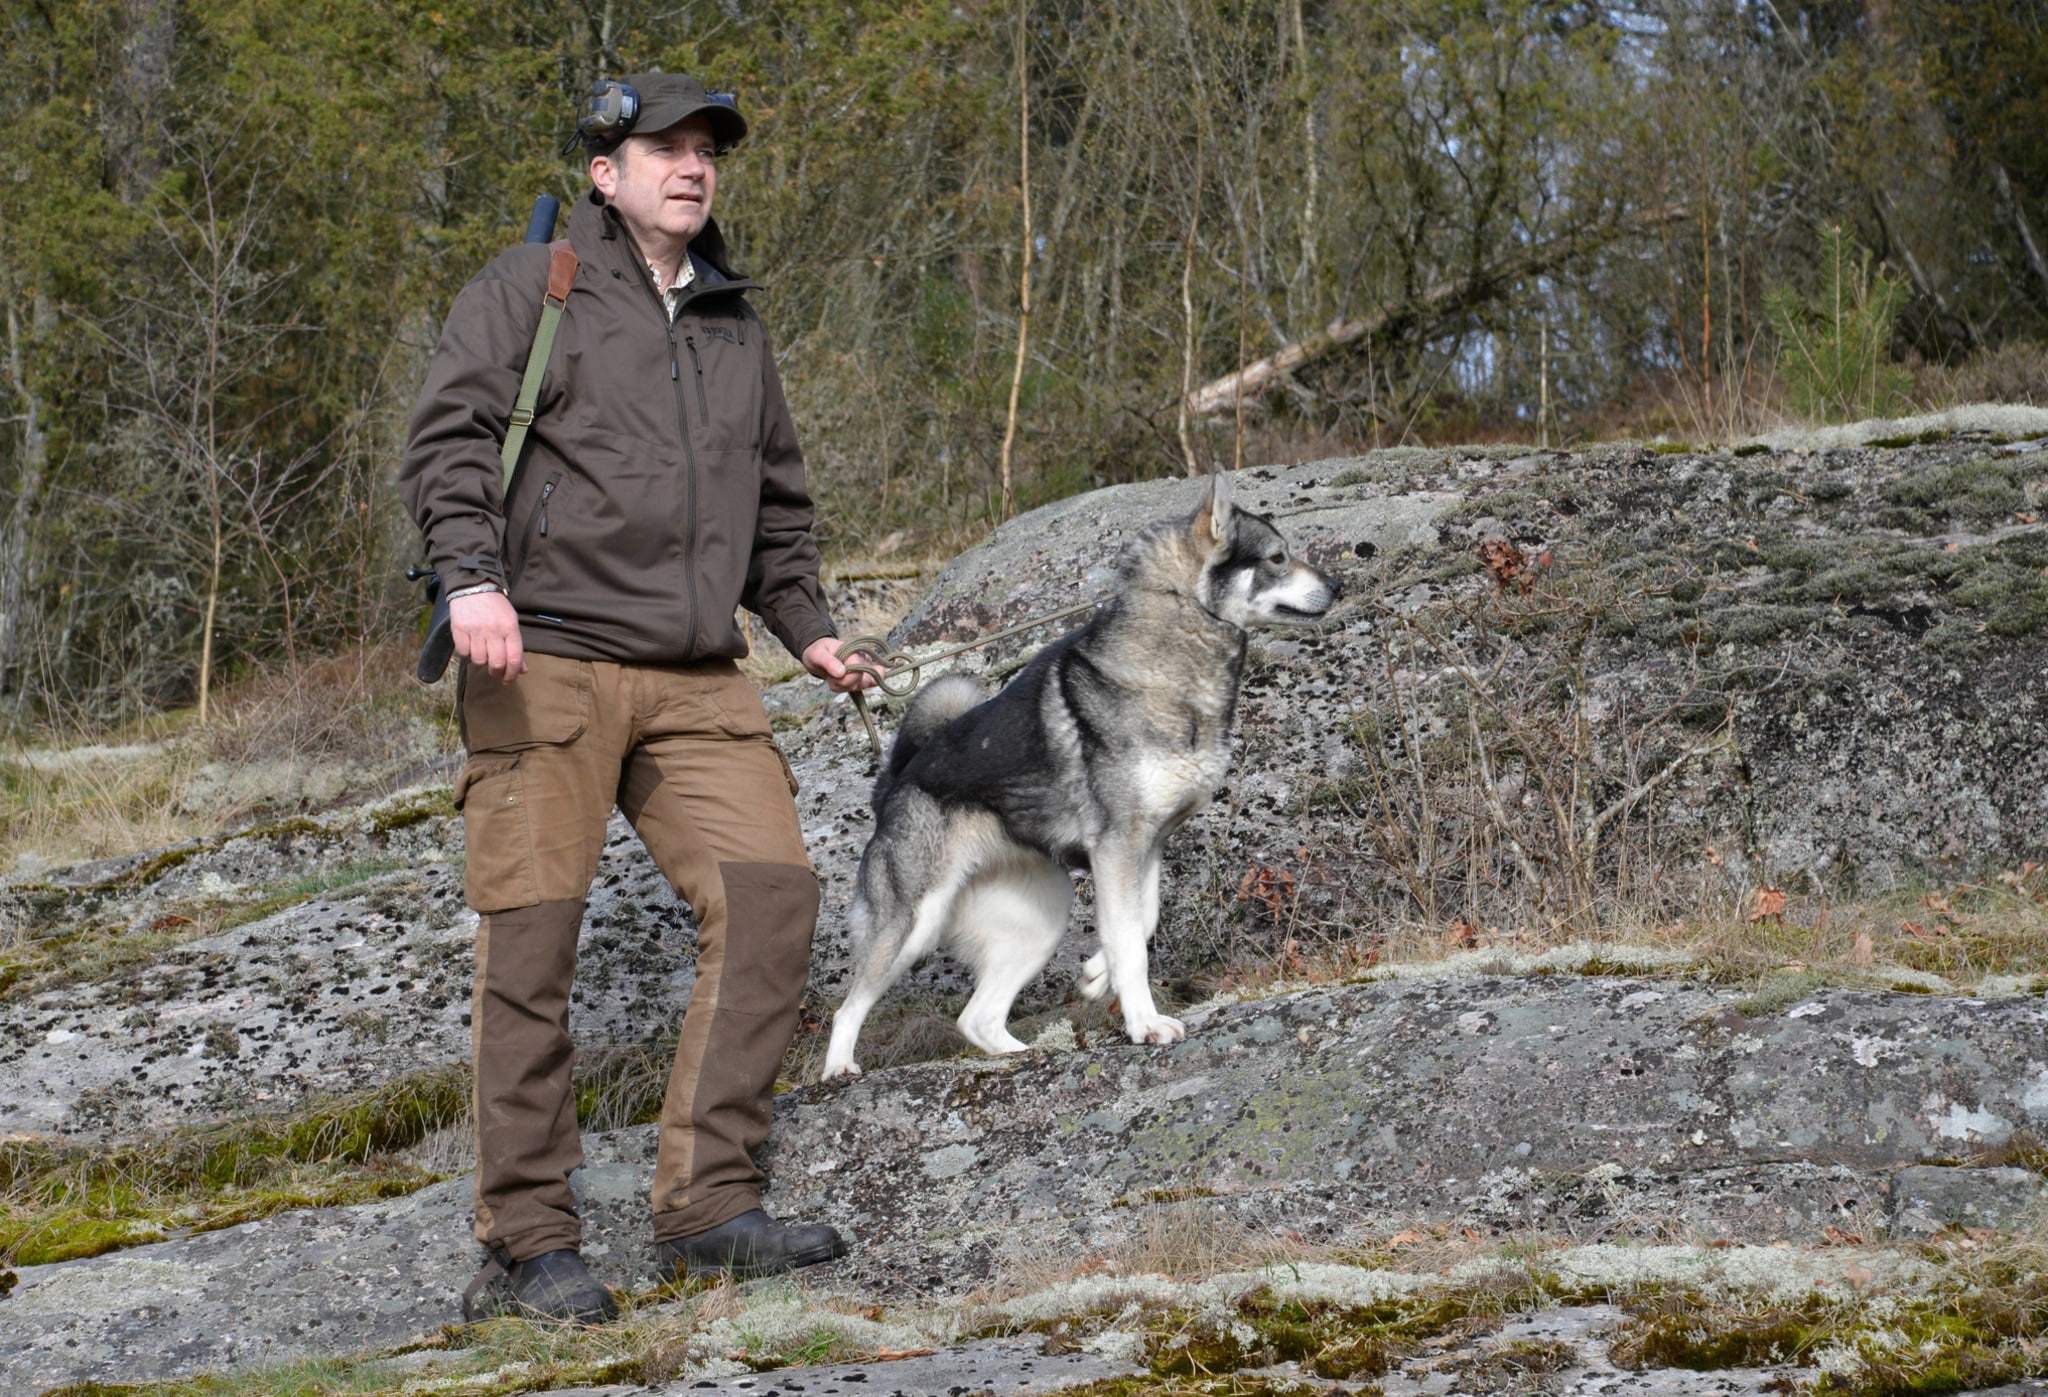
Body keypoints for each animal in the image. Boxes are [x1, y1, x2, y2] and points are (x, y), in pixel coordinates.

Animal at [815, 471, 1343, 1073]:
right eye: (1278, 556)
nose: (1338, 583)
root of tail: (892, 785)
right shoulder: (1118, 845)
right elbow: (1132, 944)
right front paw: (1145, 1025)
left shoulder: (1145, 845)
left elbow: (1140, 923)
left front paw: (1095, 974)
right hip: (910, 924)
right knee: (849, 1008)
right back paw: (839, 1070)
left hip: (1043, 918)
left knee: (977, 1020)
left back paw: (1023, 1055)